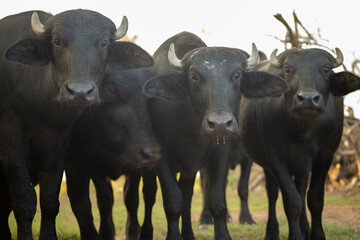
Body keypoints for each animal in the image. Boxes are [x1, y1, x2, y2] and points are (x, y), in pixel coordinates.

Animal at [0, 9, 152, 240]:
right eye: (56, 41)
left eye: (104, 42)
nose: (80, 92)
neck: (43, 110)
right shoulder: (11, 145)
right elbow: (24, 200)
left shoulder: (59, 147)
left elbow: (49, 201)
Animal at [142, 31, 286, 240]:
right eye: (194, 76)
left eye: (237, 75)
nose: (220, 123)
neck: (189, 128)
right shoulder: (161, 159)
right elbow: (173, 201)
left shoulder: (222, 153)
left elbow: (218, 198)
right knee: (150, 194)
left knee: (188, 196)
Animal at [238, 47, 360, 240]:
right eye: (287, 69)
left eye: (326, 69)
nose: (308, 99)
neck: (303, 130)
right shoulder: (275, 159)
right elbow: (292, 202)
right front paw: (295, 235)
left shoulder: (325, 156)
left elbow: (315, 199)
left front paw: (316, 235)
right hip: (267, 166)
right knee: (273, 193)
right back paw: (272, 232)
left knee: (301, 189)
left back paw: (305, 228)